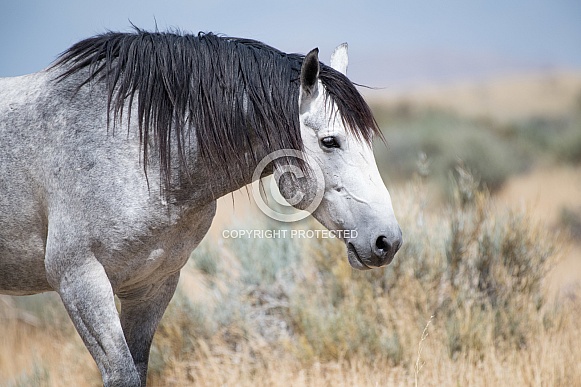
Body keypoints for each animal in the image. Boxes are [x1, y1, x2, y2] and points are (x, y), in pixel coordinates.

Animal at [0, 28, 402, 386]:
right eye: (330, 141)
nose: (389, 241)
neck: (141, 149)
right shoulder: (79, 280)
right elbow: (122, 374)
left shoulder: (153, 285)